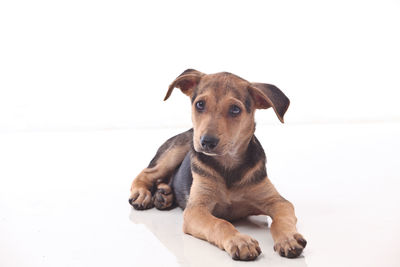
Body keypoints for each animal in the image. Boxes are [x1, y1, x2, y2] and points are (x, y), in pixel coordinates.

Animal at [128, 69, 306, 262]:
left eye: (235, 109)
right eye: (200, 104)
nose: (207, 142)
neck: (228, 166)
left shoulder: (278, 202)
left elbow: (281, 220)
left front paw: (288, 238)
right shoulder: (196, 210)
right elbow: (220, 223)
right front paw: (240, 241)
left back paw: (164, 195)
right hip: (178, 149)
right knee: (148, 172)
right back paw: (142, 194)